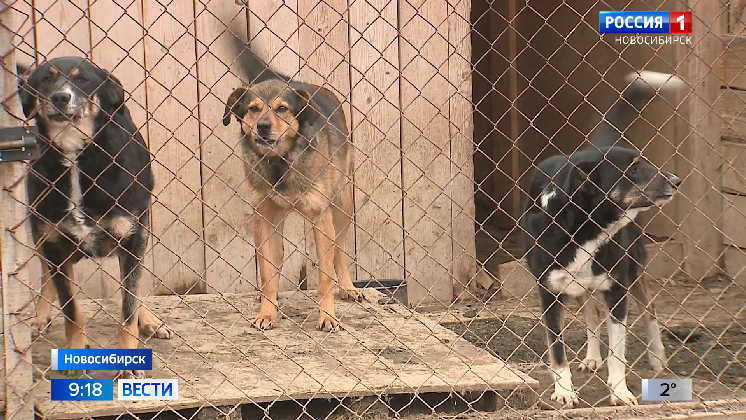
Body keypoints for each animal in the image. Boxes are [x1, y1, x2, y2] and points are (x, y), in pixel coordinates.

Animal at [20, 56, 173, 380]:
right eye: (45, 80)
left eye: (83, 80)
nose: (60, 97)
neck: (76, 156)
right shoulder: (53, 242)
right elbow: (71, 309)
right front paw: (75, 351)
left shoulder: (132, 239)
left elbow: (128, 308)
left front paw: (130, 361)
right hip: (40, 230)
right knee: (46, 273)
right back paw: (40, 315)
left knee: (134, 288)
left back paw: (149, 319)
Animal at [221, 32, 360, 334]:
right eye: (252, 109)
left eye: (282, 109)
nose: (262, 127)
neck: (280, 163)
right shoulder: (264, 218)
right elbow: (267, 273)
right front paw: (267, 313)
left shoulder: (321, 218)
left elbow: (324, 276)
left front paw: (327, 317)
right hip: (276, 223)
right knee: (277, 261)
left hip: (342, 204)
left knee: (340, 249)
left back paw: (347, 287)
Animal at [520, 72, 684, 406]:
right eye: (633, 169)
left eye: (645, 162)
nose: (676, 180)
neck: (586, 230)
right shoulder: (548, 294)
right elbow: (558, 350)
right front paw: (564, 390)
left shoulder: (617, 290)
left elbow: (617, 352)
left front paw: (619, 392)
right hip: (582, 285)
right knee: (591, 314)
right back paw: (592, 357)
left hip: (635, 267)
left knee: (649, 310)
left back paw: (657, 357)